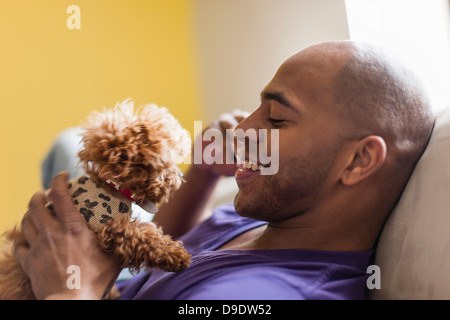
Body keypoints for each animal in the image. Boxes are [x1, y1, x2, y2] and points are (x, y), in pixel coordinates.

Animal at [0, 100, 192, 300]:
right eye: (166, 162)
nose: (180, 175)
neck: (112, 185)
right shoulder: (108, 229)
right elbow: (138, 236)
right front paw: (175, 254)